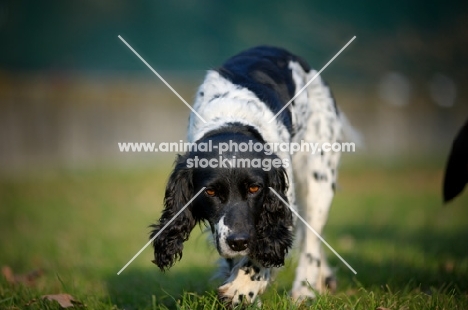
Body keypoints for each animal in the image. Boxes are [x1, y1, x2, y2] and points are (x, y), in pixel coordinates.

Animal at [150, 46, 352, 306]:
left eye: (255, 189)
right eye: (211, 191)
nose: (238, 242)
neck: (232, 122)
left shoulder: (283, 200)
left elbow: (266, 245)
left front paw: (242, 286)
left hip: (319, 179)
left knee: (311, 240)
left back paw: (305, 291)